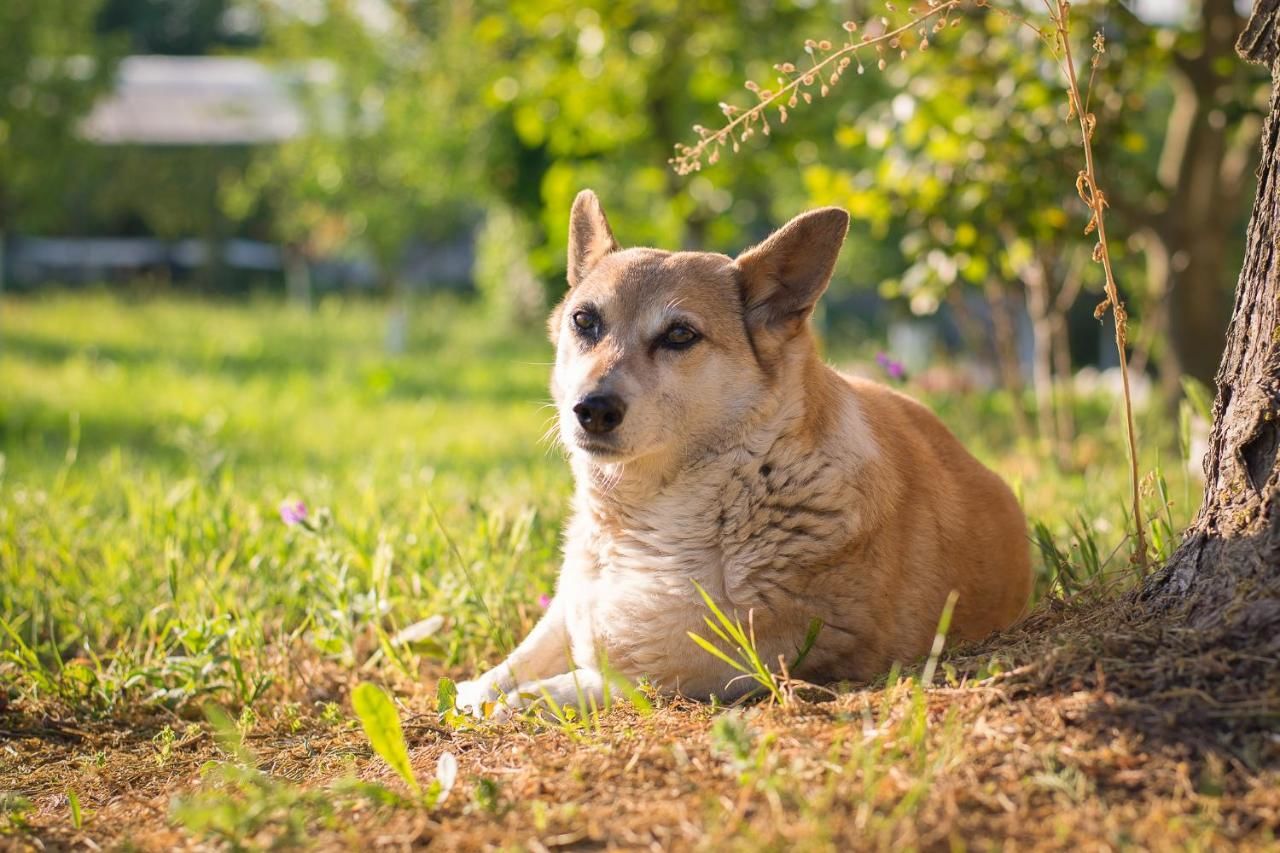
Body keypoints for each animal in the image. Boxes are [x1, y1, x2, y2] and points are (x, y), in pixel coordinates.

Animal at [455, 190, 1034, 712]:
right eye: (584, 321)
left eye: (680, 335)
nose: (592, 410)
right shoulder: (572, 600)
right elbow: (523, 654)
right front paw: (483, 686)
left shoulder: (737, 662)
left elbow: (616, 678)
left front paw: (531, 697)